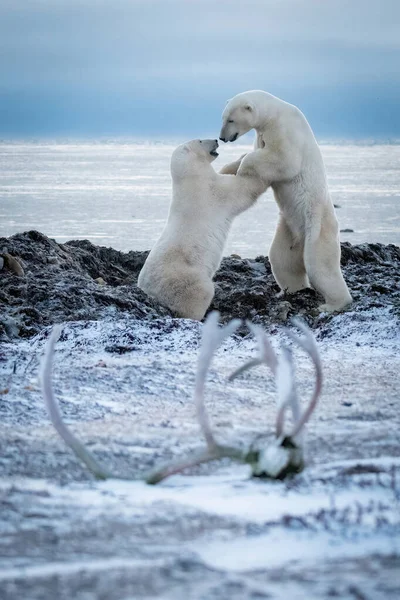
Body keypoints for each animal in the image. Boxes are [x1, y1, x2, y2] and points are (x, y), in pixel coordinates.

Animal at [138, 139, 268, 322]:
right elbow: (243, 189)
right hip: (187, 280)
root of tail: (151, 293)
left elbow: (225, 172)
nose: (216, 140)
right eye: (200, 140)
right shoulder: (212, 192)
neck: (190, 178)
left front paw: (241, 157)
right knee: (201, 293)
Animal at [219, 91, 354, 314]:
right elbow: (255, 154)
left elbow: (283, 159)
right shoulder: (262, 134)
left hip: (317, 226)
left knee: (320, 265)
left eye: (230, 119)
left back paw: (331, 304)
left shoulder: (284, 130)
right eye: (223, 117)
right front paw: (226, 169)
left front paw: (242, 168)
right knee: (282, 260)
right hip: (289, 229)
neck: (274, 112)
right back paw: (289, 291)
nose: (222, 137)